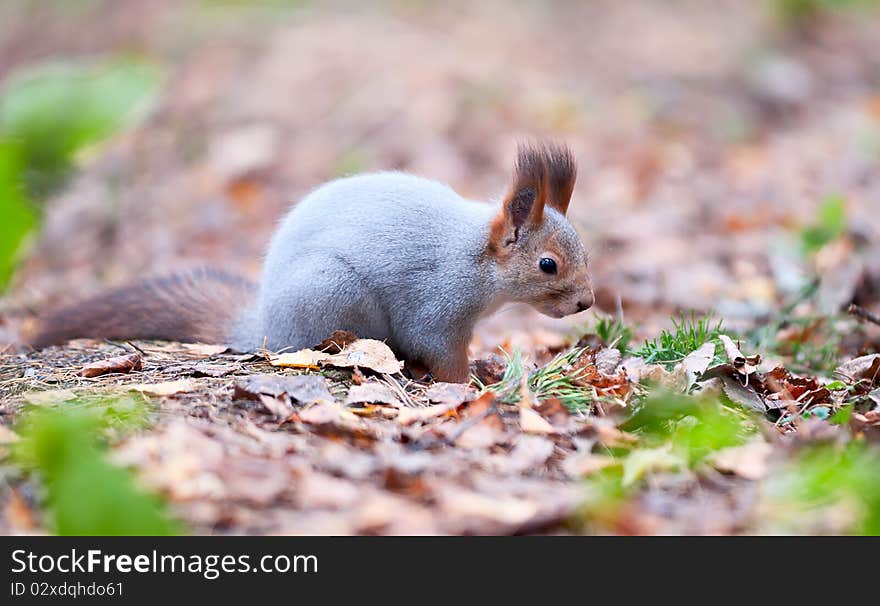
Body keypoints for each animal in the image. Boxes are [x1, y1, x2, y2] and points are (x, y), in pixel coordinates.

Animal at [29, 141, 592, 384]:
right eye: (548, 264)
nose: (587, 302)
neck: (476, 258)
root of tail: (264, 323)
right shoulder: (436, 301)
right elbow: (438, 348)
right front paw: (471, 383)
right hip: (333, 293)